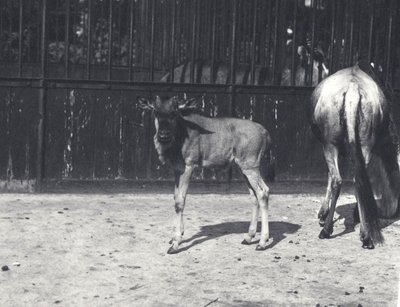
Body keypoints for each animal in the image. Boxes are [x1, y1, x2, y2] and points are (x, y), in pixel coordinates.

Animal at [139, 96, 274, 255]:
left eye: (174, 112)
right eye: (156, 111)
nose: (163, 135)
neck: (181, 132)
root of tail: (265, 132)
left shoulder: (188, 167)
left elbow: (180, 201)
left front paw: (176, 242)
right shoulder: (177, 170)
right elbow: (176, 197)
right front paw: (175, 236)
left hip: (251, 166)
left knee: (263, 192)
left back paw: (262, 242)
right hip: (243, 168)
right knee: (254, 196)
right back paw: (249, 237)